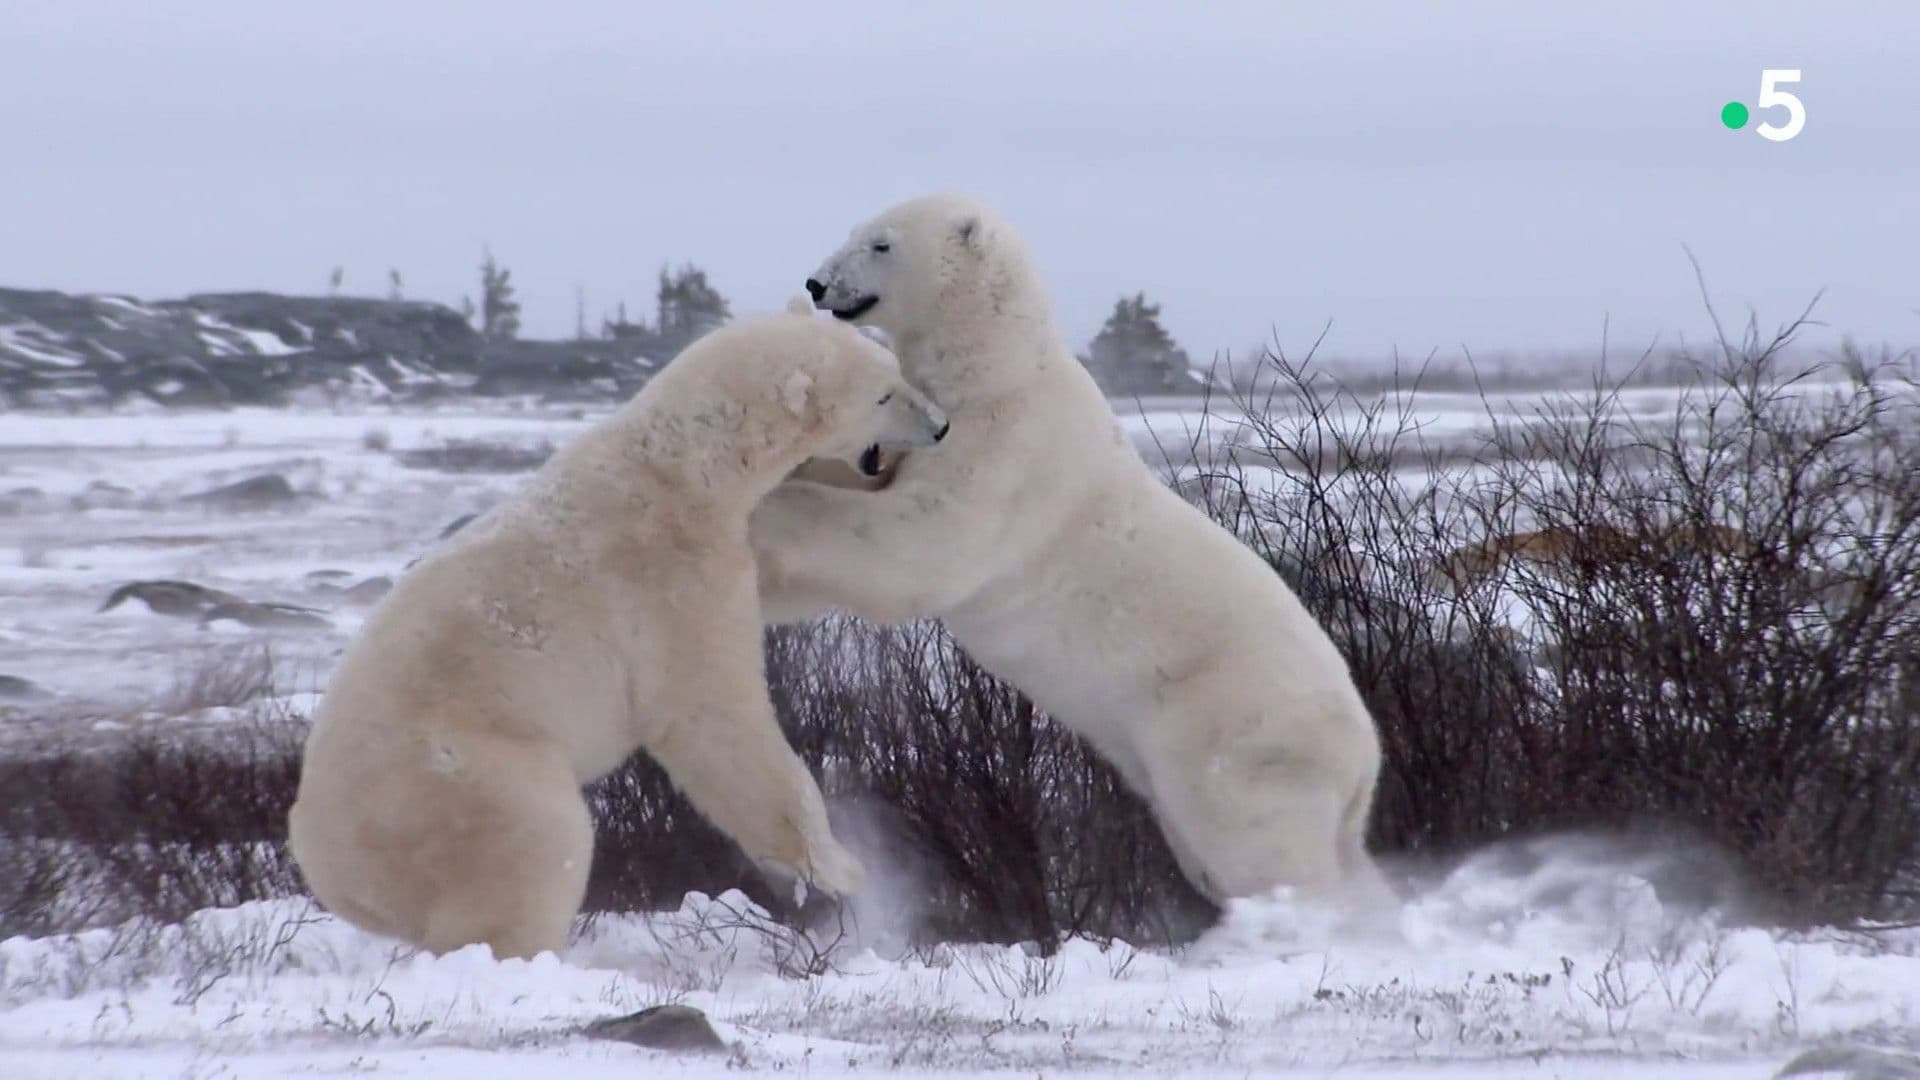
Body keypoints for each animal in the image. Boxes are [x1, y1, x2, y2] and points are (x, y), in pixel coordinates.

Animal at [287, 302, 950, 961]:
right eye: (885, 392)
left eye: (896, 371)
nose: (942, 425)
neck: (685, 465)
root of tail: (319, 853)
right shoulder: (670, 582)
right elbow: (713, 717)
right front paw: (840, 869)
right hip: (460, 776)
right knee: (540, 845)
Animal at [751, 194, 1393, 921]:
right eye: (854, 232)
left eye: (881, 244)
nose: (817, 284)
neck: (997, 368)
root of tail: (1365, 757)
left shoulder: (1007, 450)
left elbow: (920, 548)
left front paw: (768, 518)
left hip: (1240, 739)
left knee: (1266, 850)